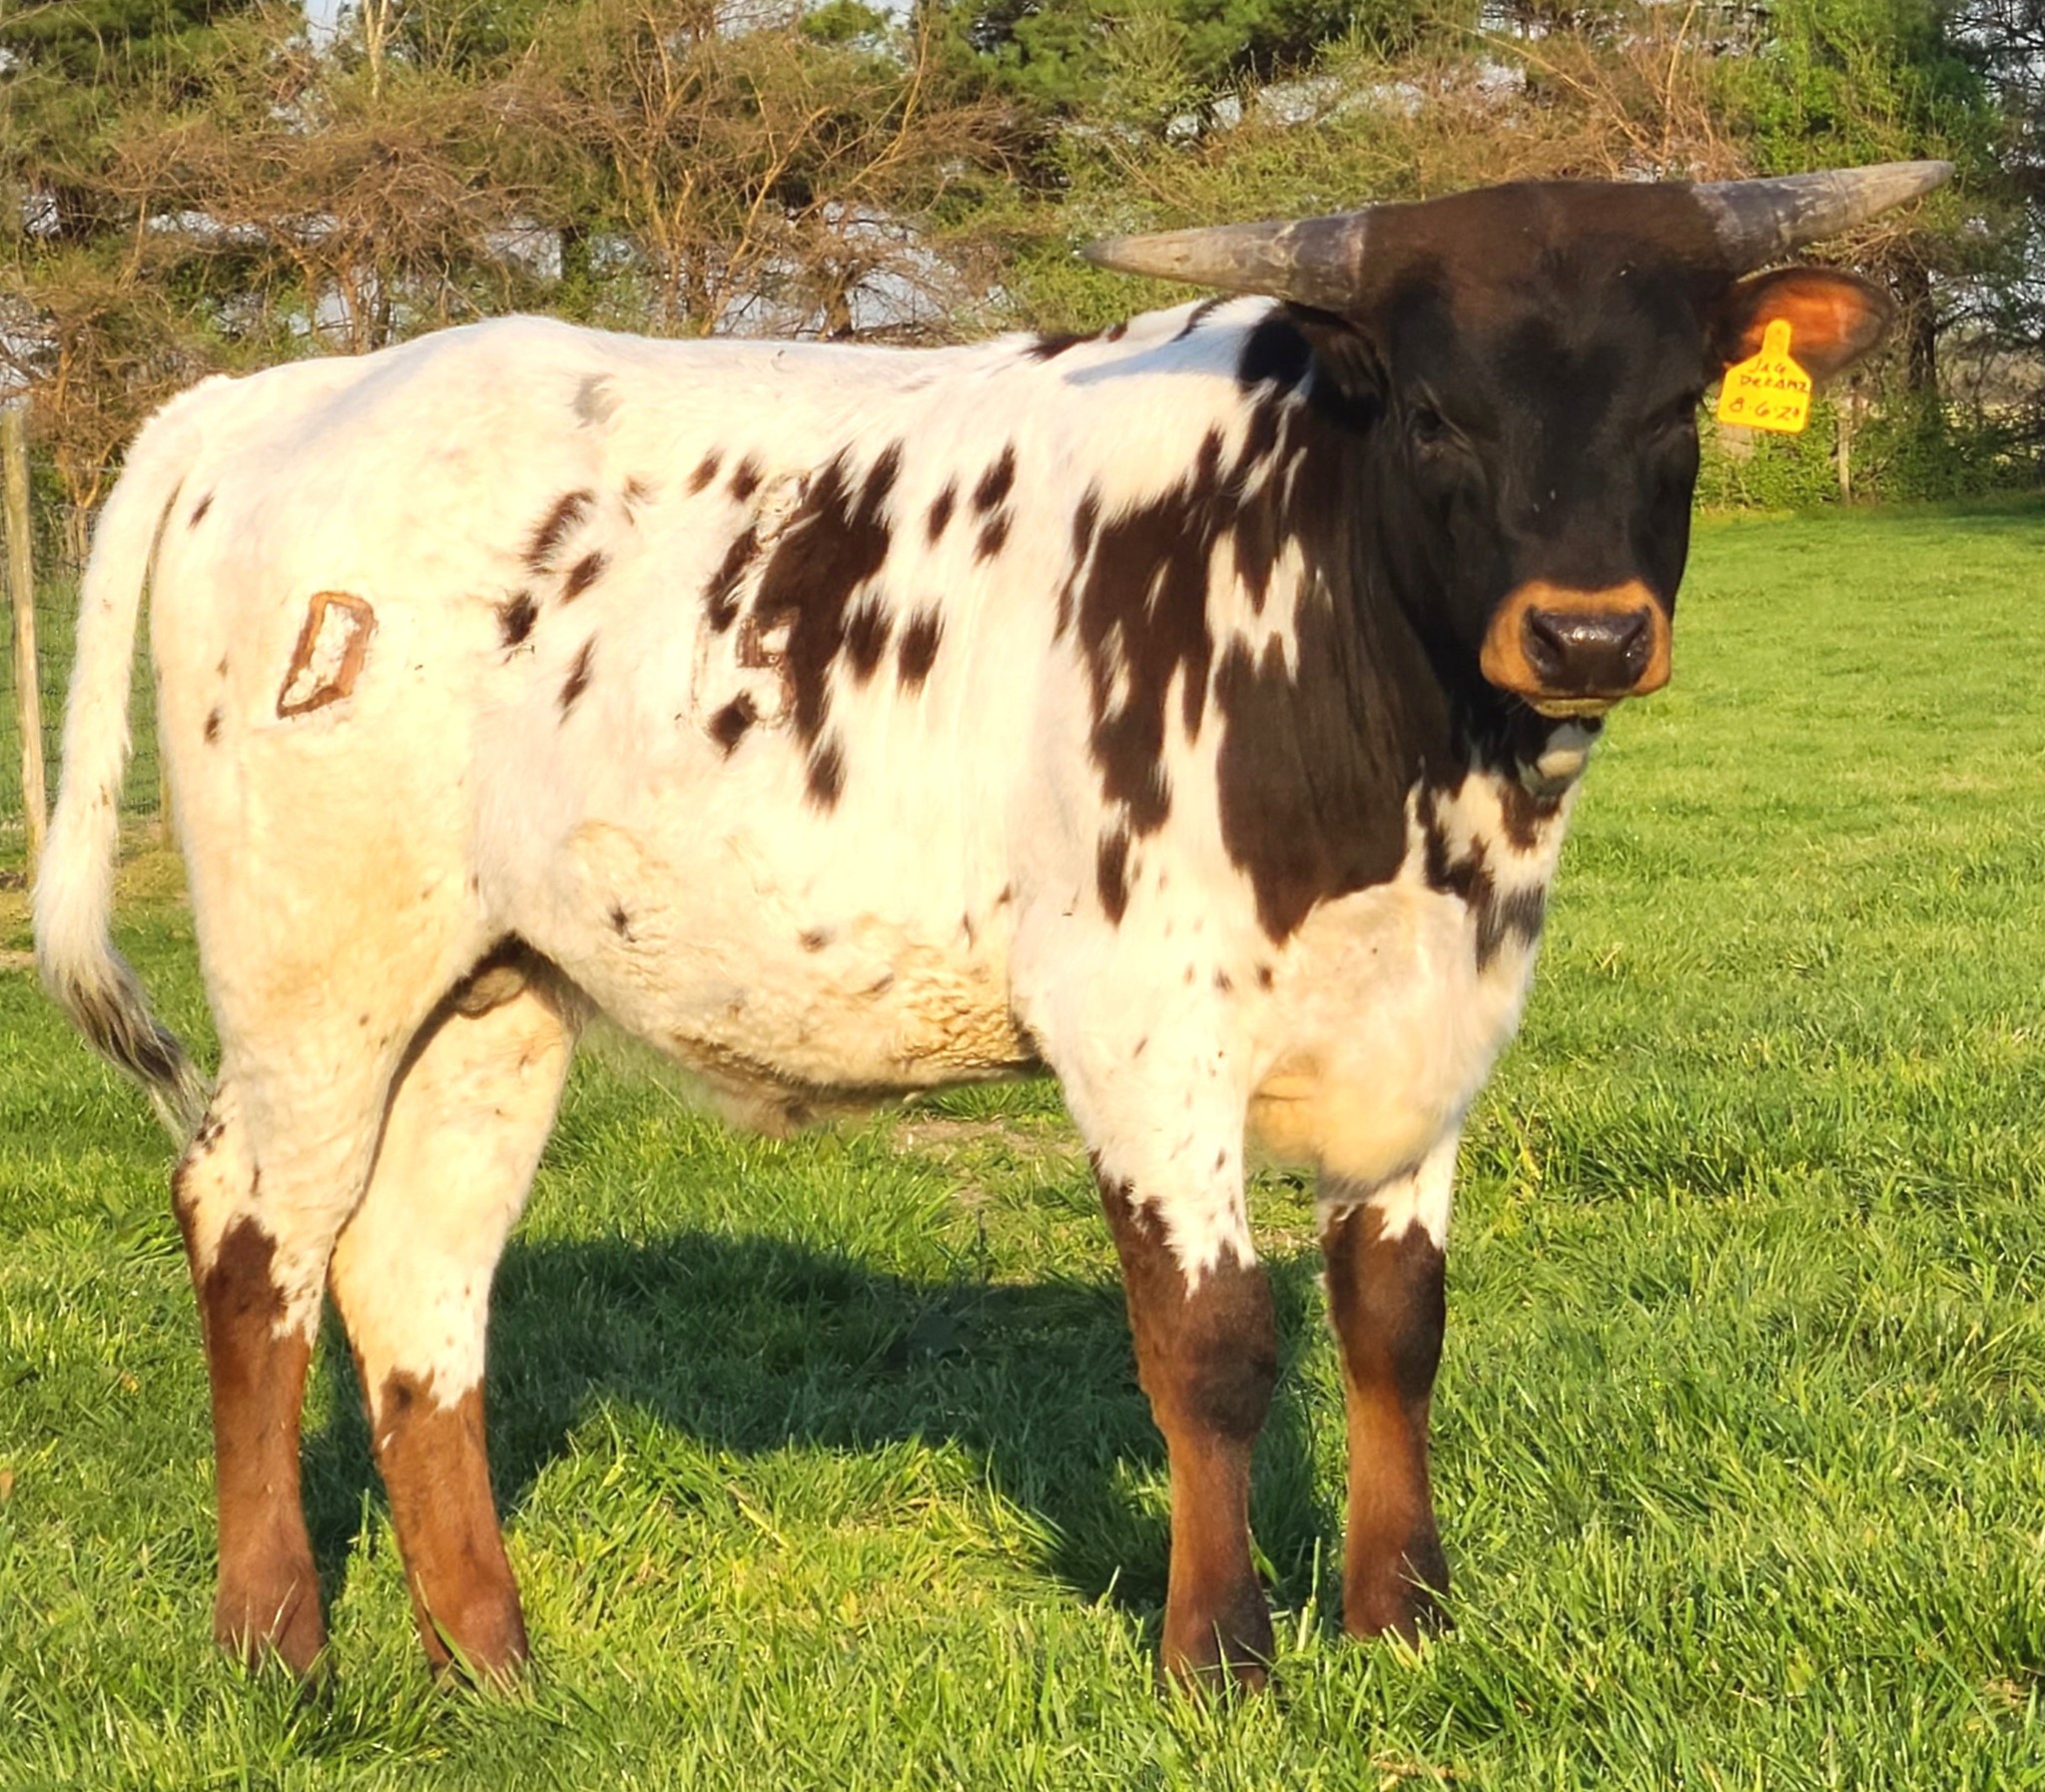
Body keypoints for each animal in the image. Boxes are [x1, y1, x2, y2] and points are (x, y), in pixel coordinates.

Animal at [35, 161, 1944, 1691]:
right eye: (1432, 414)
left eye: (1678, 406)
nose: (1585, 635)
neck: (1425, 786)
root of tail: (284, 393)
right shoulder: (1145, 1028)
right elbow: (1213, 1343)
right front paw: (1218, 1653)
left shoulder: (1435, 1025)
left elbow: (1395, 1316)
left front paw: (1403, 1618)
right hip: (314, 975)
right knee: (253, 1234)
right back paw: (278, 1642)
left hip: (489, 993)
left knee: (416, 1276)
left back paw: (490, 1661)